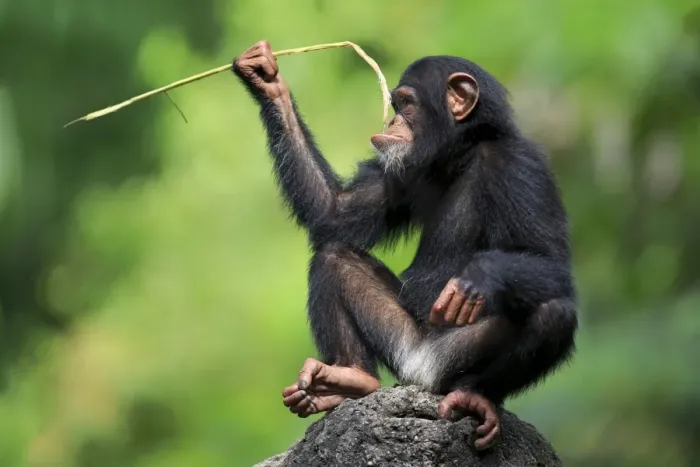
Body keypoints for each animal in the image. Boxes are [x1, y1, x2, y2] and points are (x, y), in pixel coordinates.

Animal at [232, 41, 578, 450]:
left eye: (406, 104)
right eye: (394, 106)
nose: (391, 124)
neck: (461, 152)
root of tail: (421, 376)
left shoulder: (523, 167)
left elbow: (553, 263)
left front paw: (477, 277)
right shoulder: (401, 170)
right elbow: (335, 212)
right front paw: (267, 79)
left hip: (451, 362)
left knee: (554, 313)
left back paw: (475, 397)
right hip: (402, 343)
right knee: (333, 257)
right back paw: (348, 380)